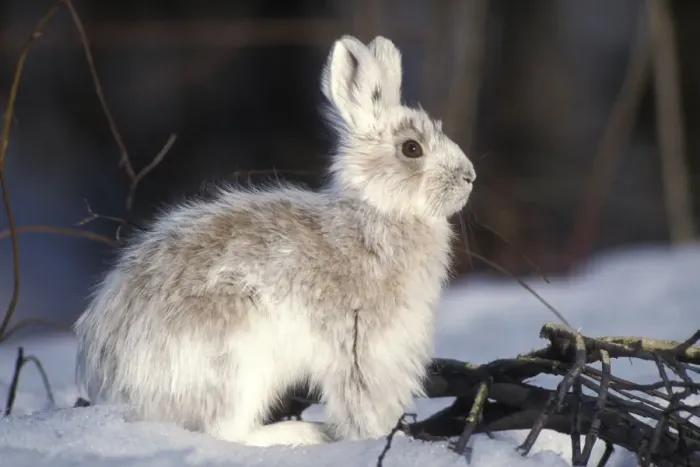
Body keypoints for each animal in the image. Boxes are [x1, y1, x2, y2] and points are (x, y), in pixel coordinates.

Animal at [73, 34, 476, 447]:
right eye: (412, 148)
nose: (470, 176)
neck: (378, 210)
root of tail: (118, 386)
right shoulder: (362, 351)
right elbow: (362, 405)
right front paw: (375, 440)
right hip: (235, 361)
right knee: (226, 432)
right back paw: (304, 433)